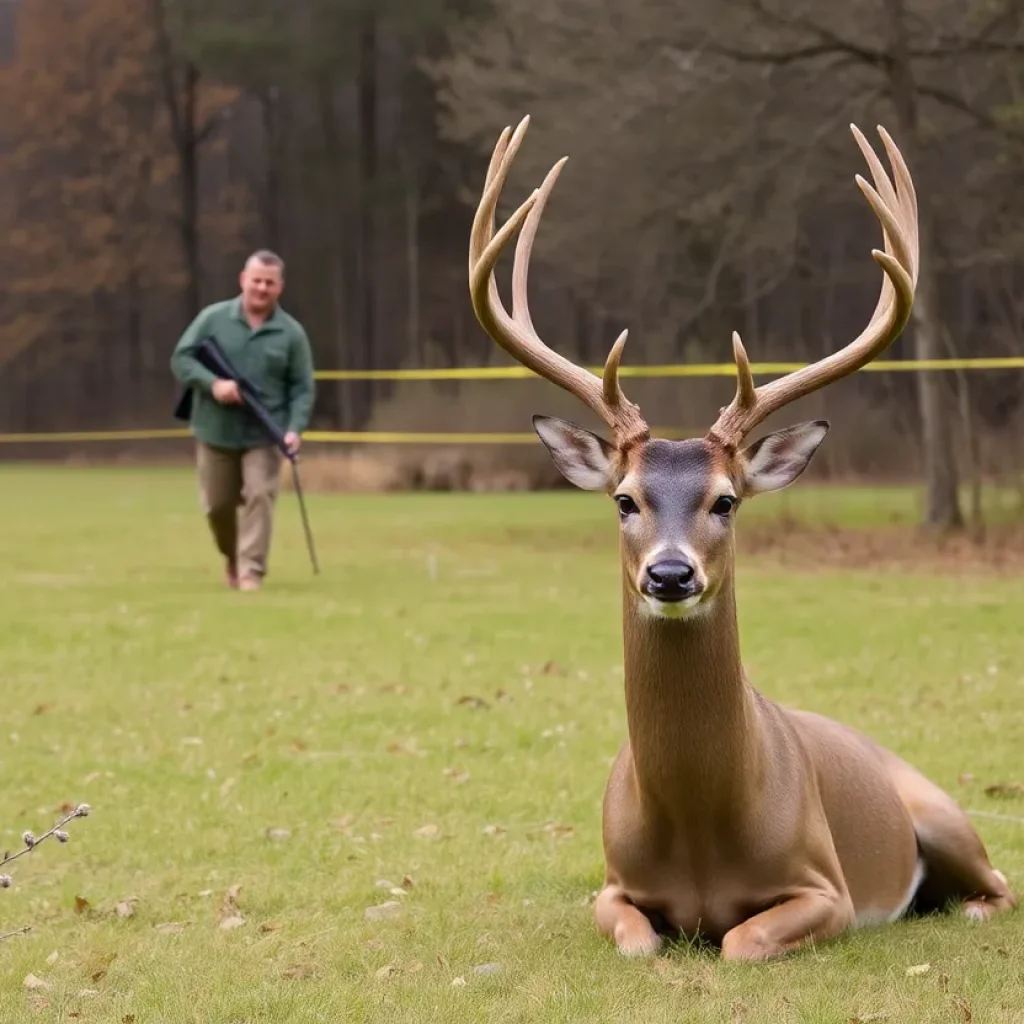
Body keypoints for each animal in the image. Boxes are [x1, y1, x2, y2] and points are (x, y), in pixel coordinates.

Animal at [468, 116, 1015, 962]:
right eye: (624, 500)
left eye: (725, 501)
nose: (670, 575)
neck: (698, 825)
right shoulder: (611, 886)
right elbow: (639, 940)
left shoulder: (826, 887)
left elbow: (740, 941)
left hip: (945, 813)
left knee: (999, 885)